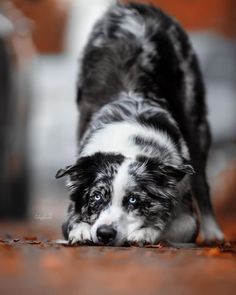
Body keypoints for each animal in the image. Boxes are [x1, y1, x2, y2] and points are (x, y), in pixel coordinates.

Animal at [55, 1, 223, 247]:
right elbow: (73, 221)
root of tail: (134, 6)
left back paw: (214, 233)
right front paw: (81, 230)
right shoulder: (70, 210)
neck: (128, 141)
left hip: (196, 124)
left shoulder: (188, 218)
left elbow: (168, 224)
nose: (105, 233)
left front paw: (146, 232)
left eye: (134, 200)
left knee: (202, 182)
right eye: (96, 197)